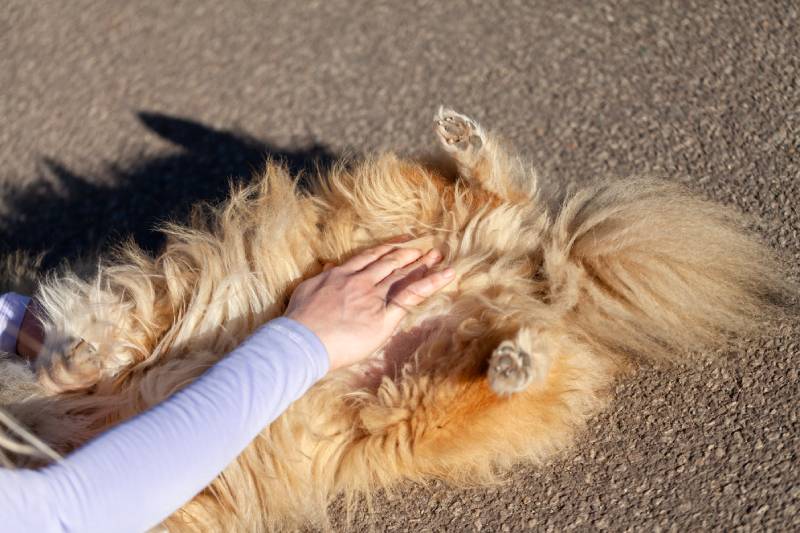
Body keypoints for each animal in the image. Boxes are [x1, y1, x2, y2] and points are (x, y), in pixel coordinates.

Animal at [0, 107, 788, 528]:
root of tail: (529, 274)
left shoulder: (124, 326)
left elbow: (83, 334)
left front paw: (65, 357)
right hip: (419, 409)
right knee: (517, 359)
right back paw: (514, 357)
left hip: (395, 209)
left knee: (493, 188)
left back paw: (463, 140)